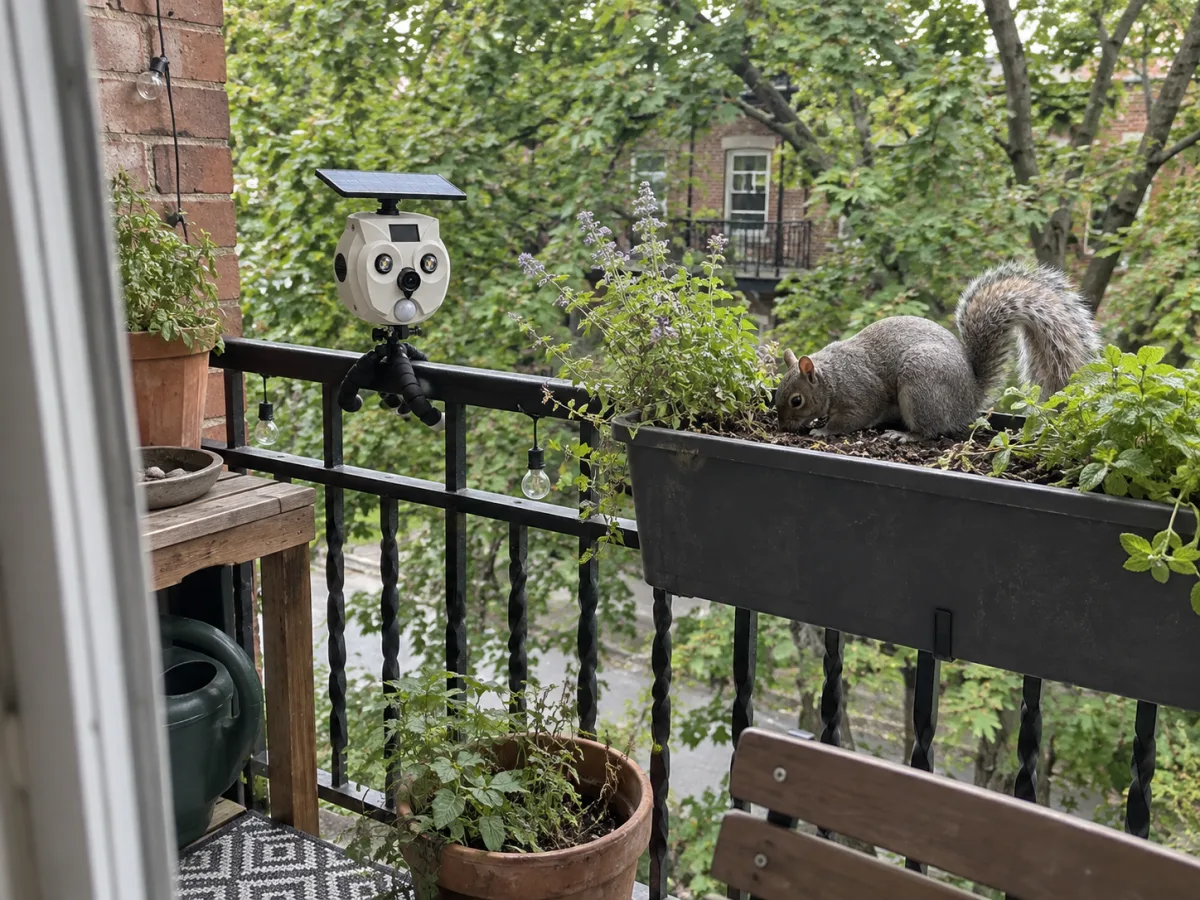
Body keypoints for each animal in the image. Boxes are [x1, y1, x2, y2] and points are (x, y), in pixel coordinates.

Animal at [776, 261, 1100, 441]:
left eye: (796, 401)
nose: (782, 428)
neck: (831, 378)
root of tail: (970, 398)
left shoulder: (860, 394)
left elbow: (851, 419)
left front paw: (823, 430)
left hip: (921, 384)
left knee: (929, 431)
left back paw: (905, 435)